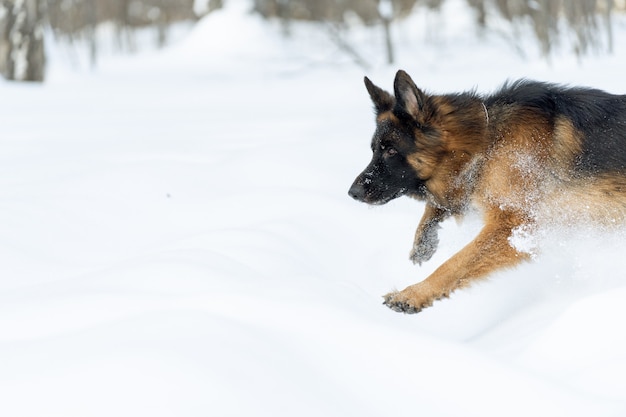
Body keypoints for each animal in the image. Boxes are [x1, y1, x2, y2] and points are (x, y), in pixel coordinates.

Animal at [348, 70, 624, 312]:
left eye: (390, 150)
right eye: (374, 149)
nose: (352, 192)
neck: (488, 140)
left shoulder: (510, 224)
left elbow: (455, 264)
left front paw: (414, 293)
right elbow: (440, 205)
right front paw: (424, 240)